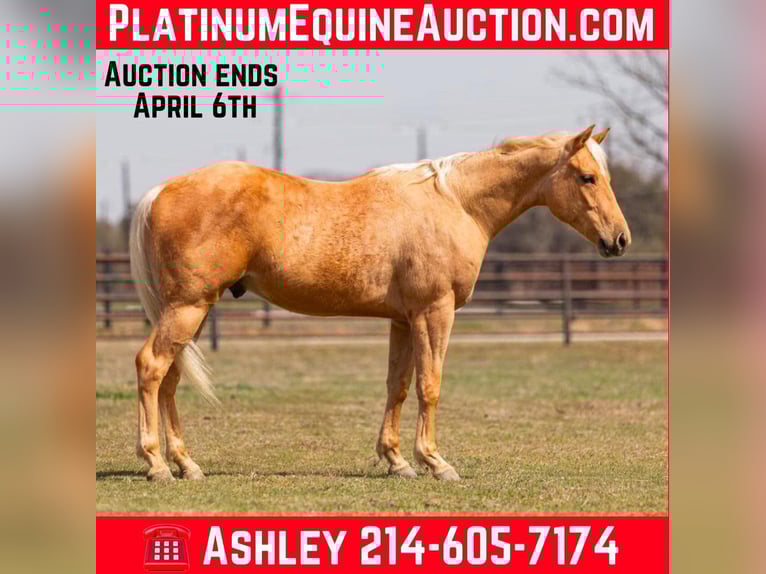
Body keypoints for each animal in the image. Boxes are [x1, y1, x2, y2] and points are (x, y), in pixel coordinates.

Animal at [129, 125, 630, 482]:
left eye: (604, 177)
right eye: (587, 177)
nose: (619, 240)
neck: (456, 203)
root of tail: (159, 191)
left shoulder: (404, 320)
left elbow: (399, 387)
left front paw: (397, 461)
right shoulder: (434, 313)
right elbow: (430, 386)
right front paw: (436, 462)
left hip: (192, 311)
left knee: (170, 379)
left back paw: (186, 464)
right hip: (188, 308)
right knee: (152, 367)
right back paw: (156, 464)